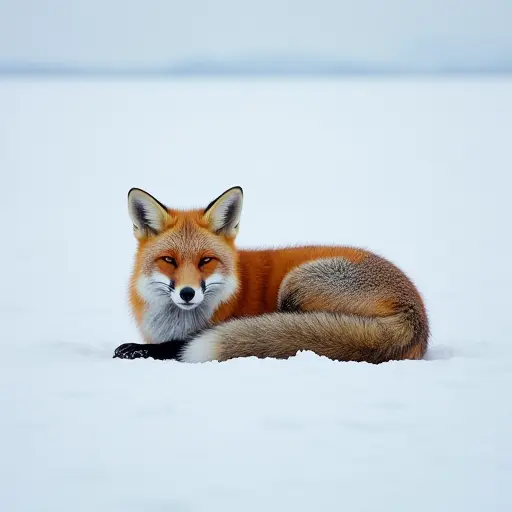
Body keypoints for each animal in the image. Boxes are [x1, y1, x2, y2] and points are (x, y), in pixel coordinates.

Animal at [114, 186, 430, 362]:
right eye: (169, 260)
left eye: (206, 261)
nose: (188, 293)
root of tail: (417, 316)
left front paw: (140, 349)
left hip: (296, 285)